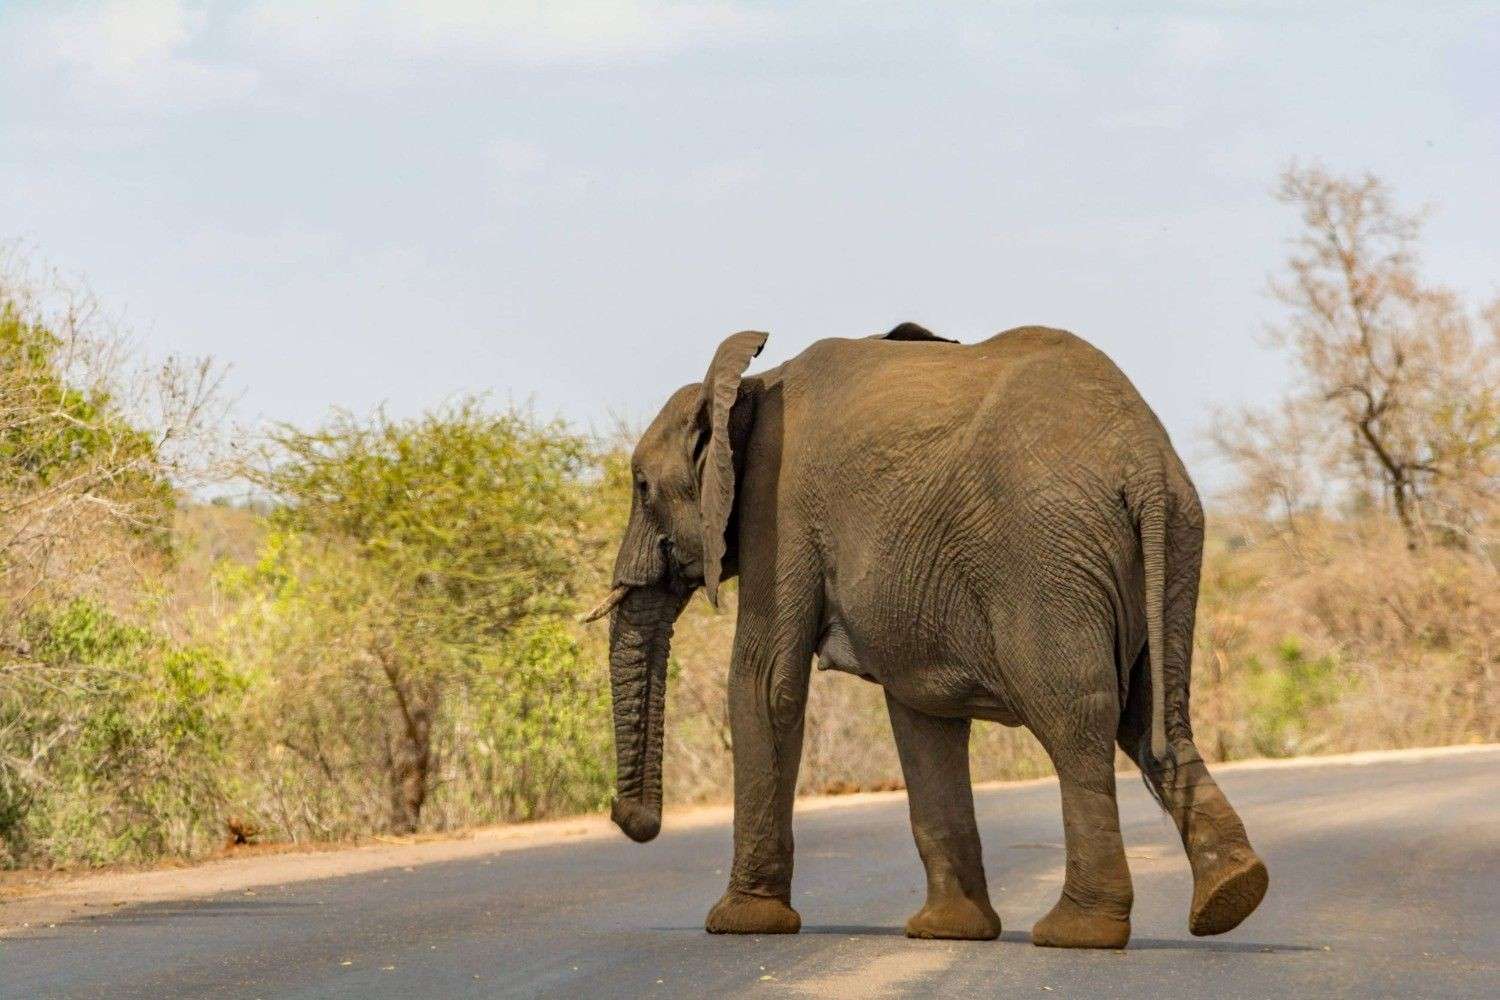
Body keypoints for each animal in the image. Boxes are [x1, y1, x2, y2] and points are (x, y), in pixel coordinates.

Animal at [585, 322, 1268, 948]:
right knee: (1154, 714)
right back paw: (1231, 897)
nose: (631, 818)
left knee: (1076, 718)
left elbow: (764, 683)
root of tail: (1144, 460)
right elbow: (922, 712)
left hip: (1046, 557)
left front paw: (739, 924)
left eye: (641, 486)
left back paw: (1076, 933)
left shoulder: (777, 509)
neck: (748, 385)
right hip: (1176, 543)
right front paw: (949, 933)